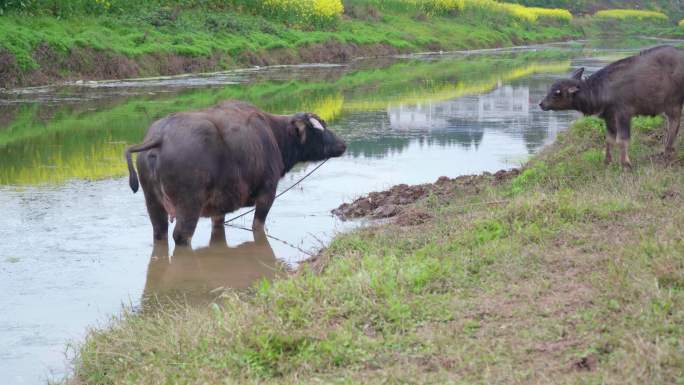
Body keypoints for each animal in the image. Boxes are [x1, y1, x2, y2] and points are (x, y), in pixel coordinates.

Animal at [124, 99, 348, 243]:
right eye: (320, 128)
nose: (343, 144)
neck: (274, 135)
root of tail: (160, 137)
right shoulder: (267, 193)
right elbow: (258, 226)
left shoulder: (218, 207)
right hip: (189, 205)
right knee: (181, 236)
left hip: (153, 203)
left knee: (159, 233)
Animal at [540, 44, 684, 167]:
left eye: (557, 92)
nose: (541, 104)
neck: (602, 91)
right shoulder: (609, 117)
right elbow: (609, 139)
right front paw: (607, 161)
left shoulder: (623, 114)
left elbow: (622, 139)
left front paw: (626, 164)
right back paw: (667, 150)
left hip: (674, 103)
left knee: (674, 123)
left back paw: (668, 151)